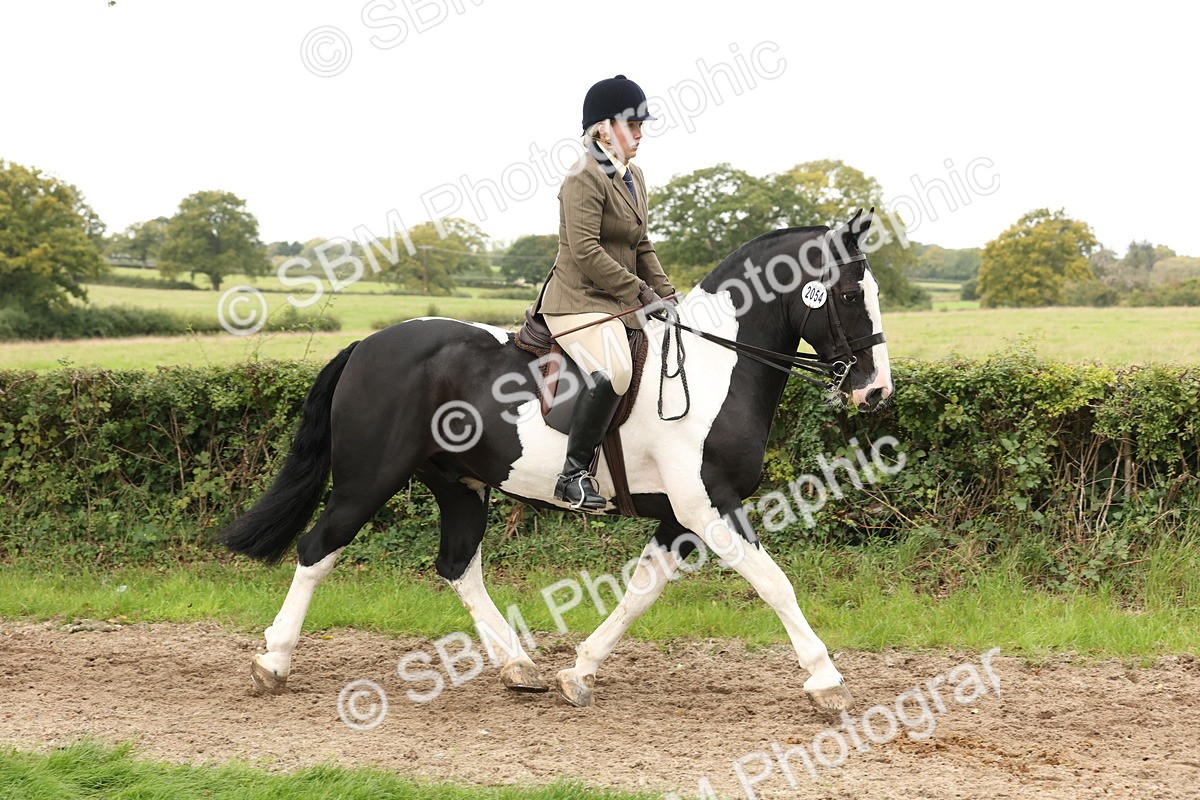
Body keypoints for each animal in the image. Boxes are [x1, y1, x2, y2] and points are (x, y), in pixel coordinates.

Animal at [220, 209, 893, 712]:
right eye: (850, 292)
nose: (876, 391)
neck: (715, 365)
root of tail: (367, 344)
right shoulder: (709, 506)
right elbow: (775, 583)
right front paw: (827, 681)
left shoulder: (680, 517)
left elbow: (641, 591)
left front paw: (581, 672)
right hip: (368, 480)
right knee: (318, 549)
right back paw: (273, 661)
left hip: (461, 483)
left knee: (458, 566)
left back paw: (519, 667)